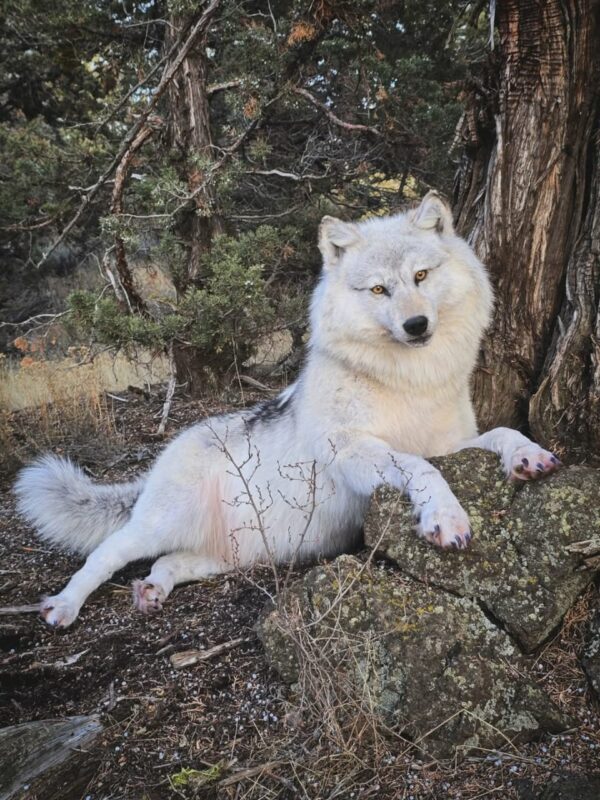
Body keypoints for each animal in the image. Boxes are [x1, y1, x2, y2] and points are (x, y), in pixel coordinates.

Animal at [15, 192, 560, 628]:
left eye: (421, 276)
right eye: (379, 289)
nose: (416, 325)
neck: (408, 382)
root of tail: (158, 461)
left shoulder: (452, 443)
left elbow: (501, 433)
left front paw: (529, 455)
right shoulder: (353, 451)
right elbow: (420, 466)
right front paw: (445, 518)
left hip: (235, 554)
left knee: (168, 564)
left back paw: (151, 590)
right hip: (156, 525)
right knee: (104, 556)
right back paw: (62, 606)